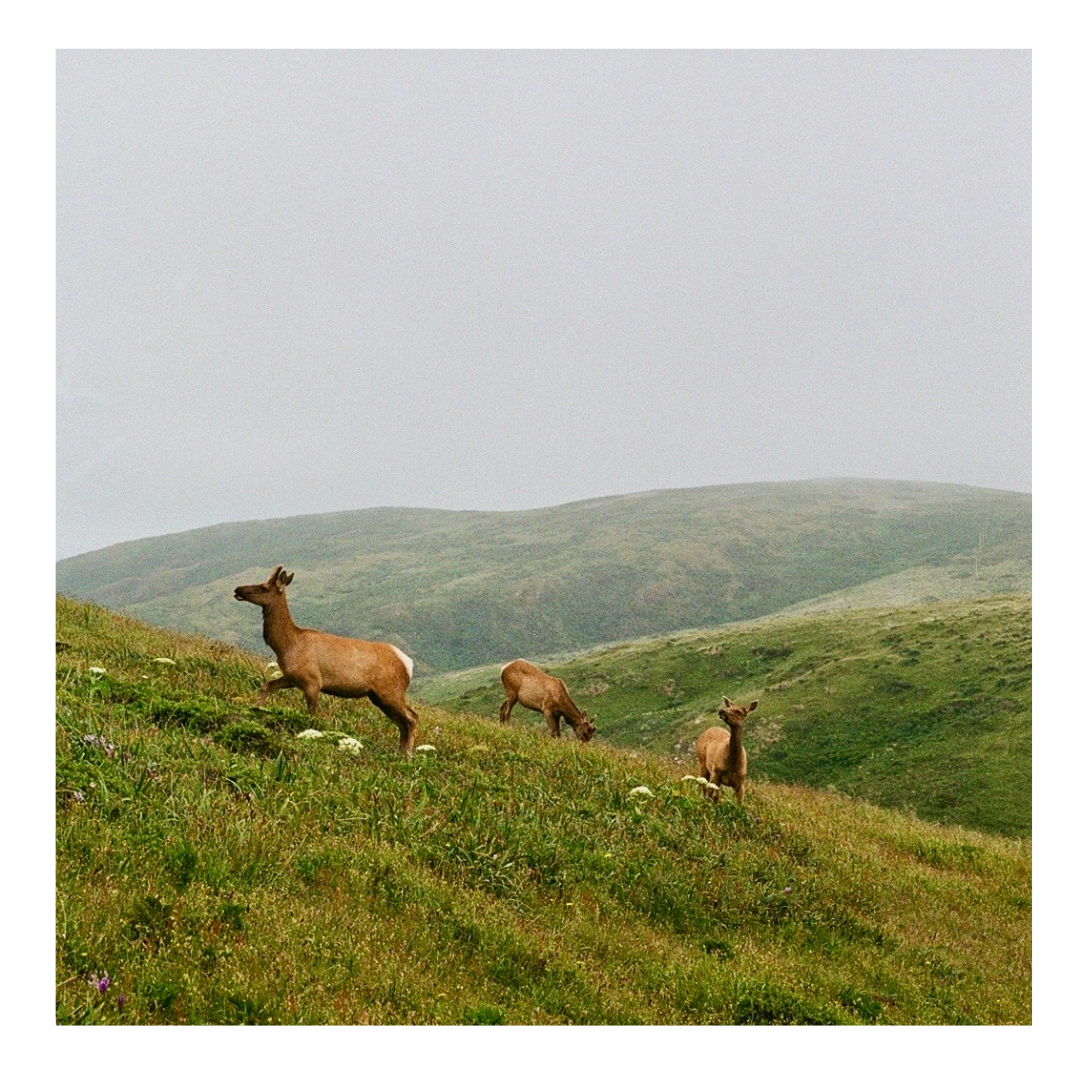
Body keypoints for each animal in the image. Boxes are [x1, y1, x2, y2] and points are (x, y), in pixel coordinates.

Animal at [233, 566, 418, 756]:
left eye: (263, 587)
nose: (238, 589)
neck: (287, 646)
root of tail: (408, 663)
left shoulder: (312, 681)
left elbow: (312, 716)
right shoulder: (292, 678)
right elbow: (267, 685)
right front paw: (255, 709)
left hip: (390, 691)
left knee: (412, 718)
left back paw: (408, 754)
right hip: (378, 696)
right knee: (402, 722)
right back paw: (400, 752)